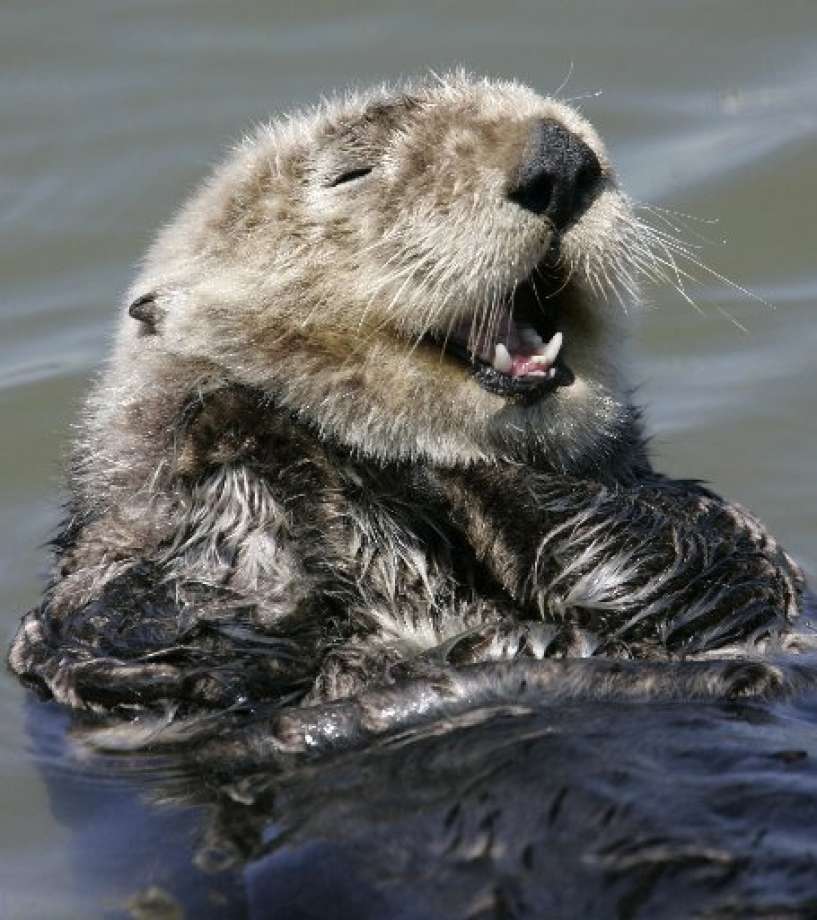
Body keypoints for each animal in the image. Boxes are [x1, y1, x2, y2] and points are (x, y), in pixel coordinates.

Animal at [9, 72, 808, 720]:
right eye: (351, 173)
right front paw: (236, 411)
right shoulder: (106, 592)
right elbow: (175, 637)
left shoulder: (724, 555)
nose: (559, 159)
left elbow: (715, 560)